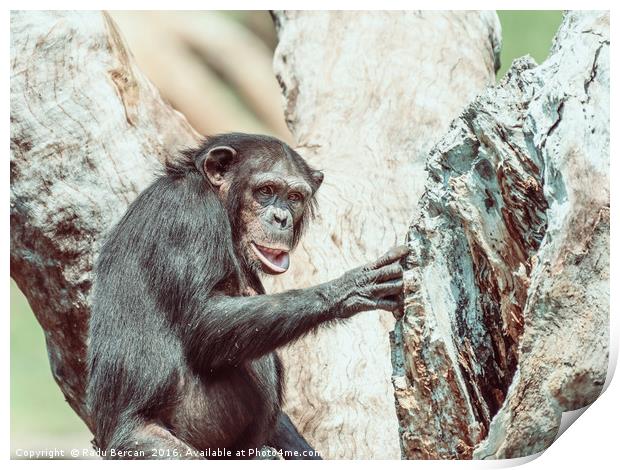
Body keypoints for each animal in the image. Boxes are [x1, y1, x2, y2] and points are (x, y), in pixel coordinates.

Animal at [86, 132, 406, 458]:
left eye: (294, 197)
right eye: (266, 191)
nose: (281, 218)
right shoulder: (187, 213)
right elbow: (203, 319)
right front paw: (348, 288)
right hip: (155, 445)